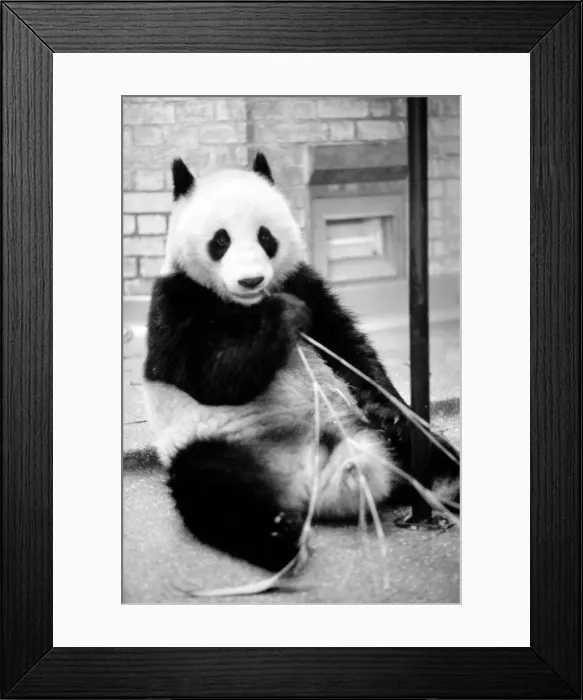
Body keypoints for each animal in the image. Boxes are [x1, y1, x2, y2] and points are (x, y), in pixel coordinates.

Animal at [142, 151, 460, 573]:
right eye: (220, 240)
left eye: (265, 237)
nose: (251, 280)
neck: (245, 304)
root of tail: (309, 485)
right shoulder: (176, 302)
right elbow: (210, 377)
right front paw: (283, 317)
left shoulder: (301, 281)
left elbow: (348, 348)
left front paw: (388, 408)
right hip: (213, 444)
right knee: (213, 492)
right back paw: (281, 540)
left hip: (362, 430)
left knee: (425, 446)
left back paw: (446, 485)